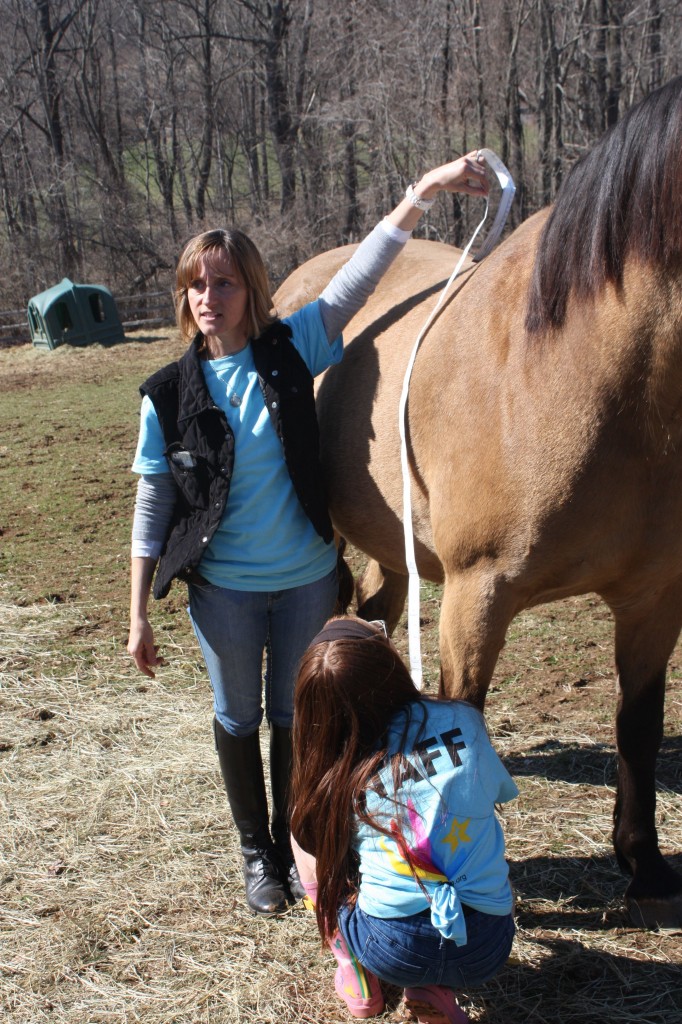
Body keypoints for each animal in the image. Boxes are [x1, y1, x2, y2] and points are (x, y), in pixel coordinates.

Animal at [274, 79, 679, 929]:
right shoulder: (476, 594)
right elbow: (462, 724)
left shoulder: (655, 596)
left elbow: (638, 723)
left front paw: (645, 863)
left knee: (373, 617)